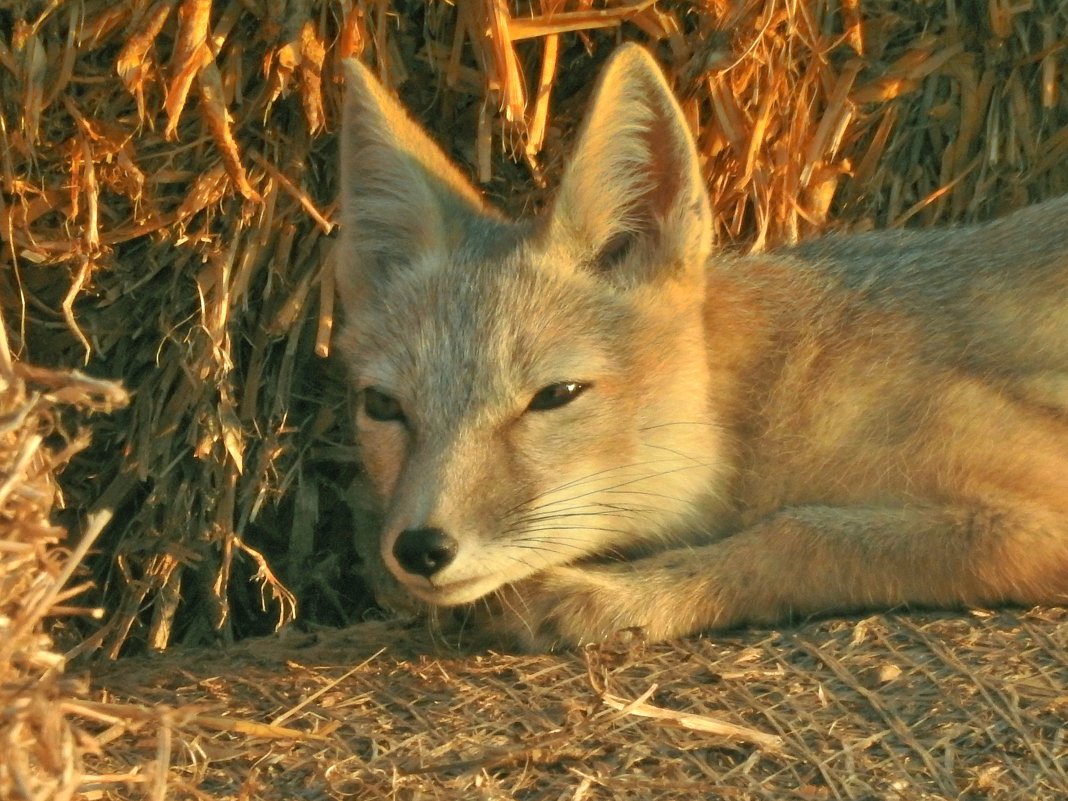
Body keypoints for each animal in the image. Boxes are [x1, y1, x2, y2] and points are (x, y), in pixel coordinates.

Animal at [333, 45, 1068, 653]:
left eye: (556, 396)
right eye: (383, 407)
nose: (421, 548)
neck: (763, 406)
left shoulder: (1039, 511)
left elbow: (802, 533)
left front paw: (620, 596)